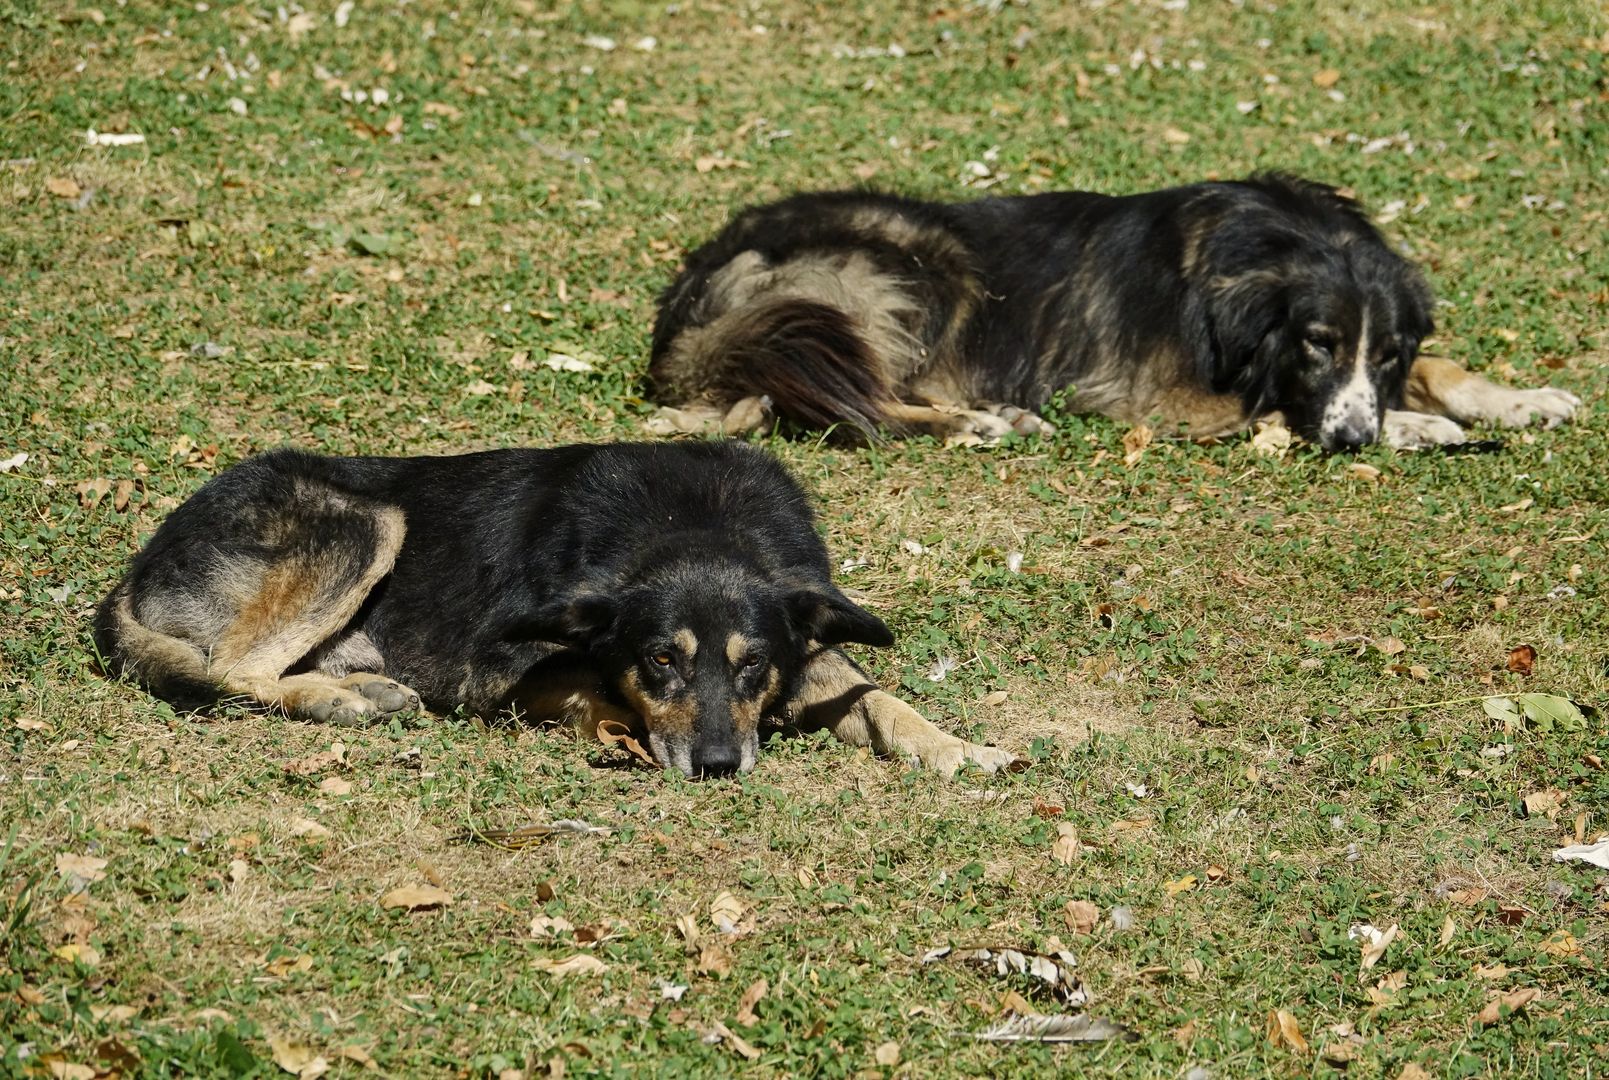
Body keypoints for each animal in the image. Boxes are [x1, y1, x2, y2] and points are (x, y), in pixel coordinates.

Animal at [94, 437, 1010, 779]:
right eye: (660, 659)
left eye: (752, 663)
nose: (718, 768)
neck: (689, 525)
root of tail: (133, 576)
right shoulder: (498, 676)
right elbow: (592, 690)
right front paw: (615, 726)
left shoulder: (804, 642)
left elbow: (883, 699)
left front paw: (957, 748)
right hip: (362, 521)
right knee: (234, 669)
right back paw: (341, 701)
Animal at [646, 174, 1576, 450]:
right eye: (1315, 343)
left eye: (1383, 352)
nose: (1352, 438)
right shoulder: (1158, 400)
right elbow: (1275, 407)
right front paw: (1415, 428)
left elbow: (1439, 368)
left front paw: (1519, 400)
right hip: (918, 266)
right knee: (864, 402)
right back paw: (979, 422)